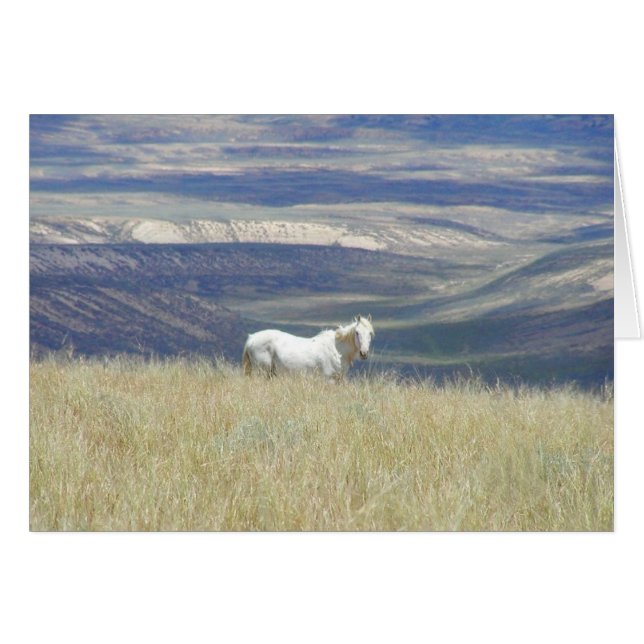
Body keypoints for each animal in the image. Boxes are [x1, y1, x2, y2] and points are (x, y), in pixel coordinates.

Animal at [242, 315, 375, 380]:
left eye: (370, 333)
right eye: (357, 332)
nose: (364, 353)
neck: (337, 350)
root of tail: (251, 339)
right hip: (261, 372)